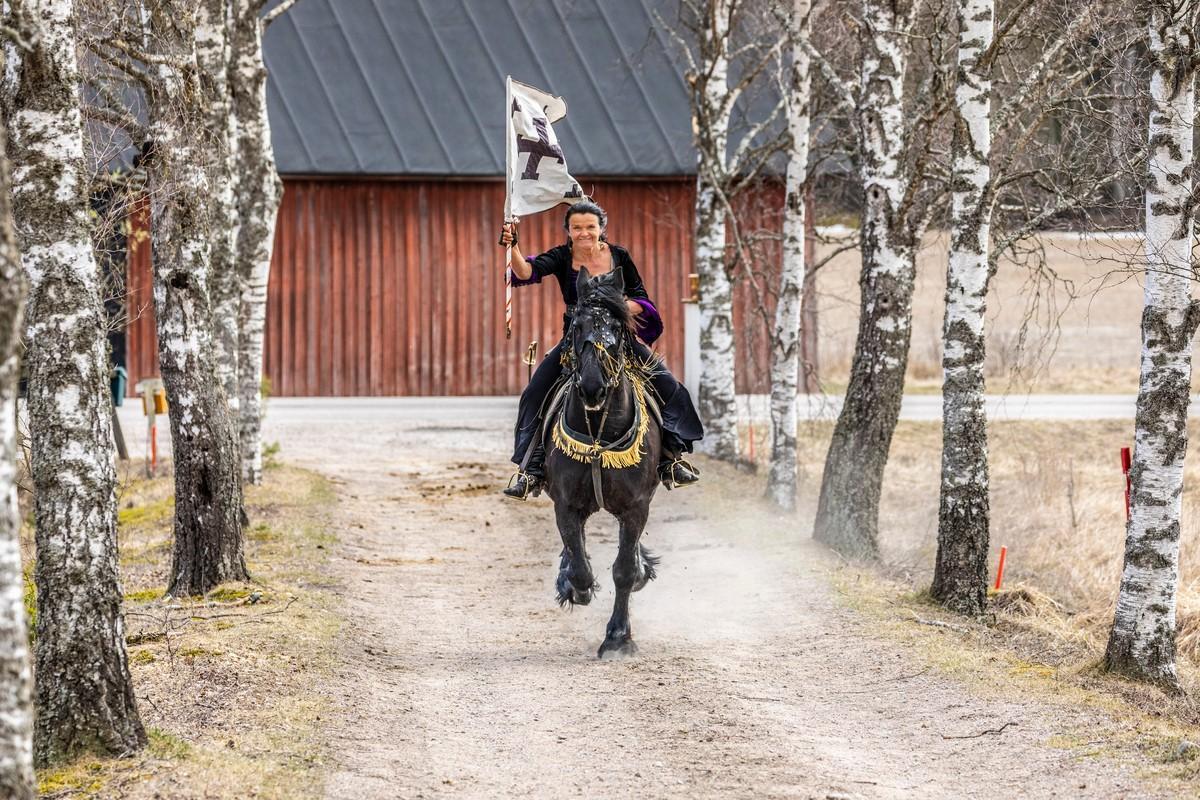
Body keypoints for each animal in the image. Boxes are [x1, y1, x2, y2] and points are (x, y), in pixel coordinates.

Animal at [547, 266, 667, 662]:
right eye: (576, 326)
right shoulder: (566, 504)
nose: (592, 387)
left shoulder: (636, 506)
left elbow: (625, 570)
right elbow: (581, 565)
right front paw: (574, 585)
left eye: (616, 327)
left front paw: (617, 638)